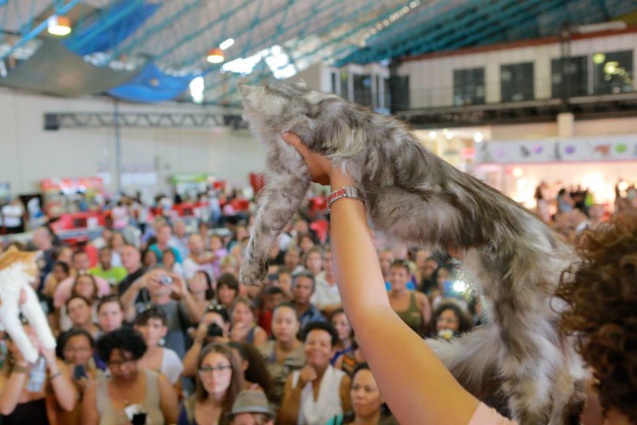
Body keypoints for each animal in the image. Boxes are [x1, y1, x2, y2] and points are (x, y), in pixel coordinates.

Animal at [238, 81, 588, 422]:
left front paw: (250, 269)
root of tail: (560, 253)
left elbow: (262, 226)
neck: (296, 98)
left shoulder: (291, 175)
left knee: (539, 399)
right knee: (571, 384)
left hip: (520, 333)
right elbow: (263, 224)